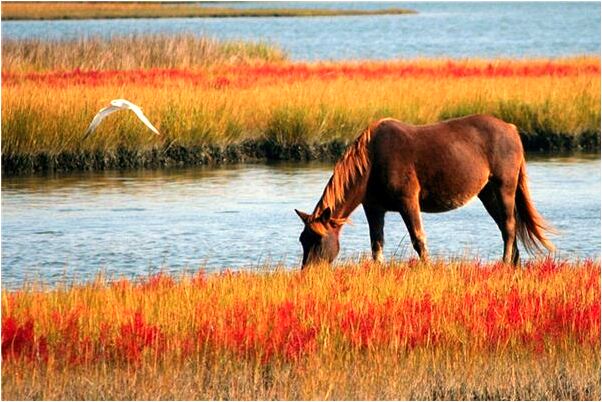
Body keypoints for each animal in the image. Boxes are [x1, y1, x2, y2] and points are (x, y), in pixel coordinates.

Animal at [296, 114, 552, 268]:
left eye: (318, 240)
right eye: (302, 239)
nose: (308, 273)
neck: (372, 161)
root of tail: (511, 129)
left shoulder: (408, 202)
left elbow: (418, 239)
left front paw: (426, 267)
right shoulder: (374, 208)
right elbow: (376, 244)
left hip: (504, 187)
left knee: (509, 226)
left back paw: (505, 262)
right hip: (487, 193)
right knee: (505, 226)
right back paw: (513, 264)